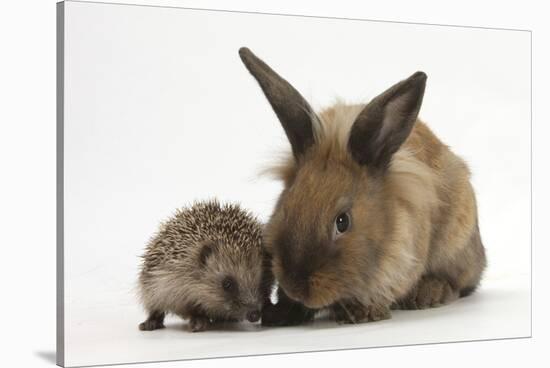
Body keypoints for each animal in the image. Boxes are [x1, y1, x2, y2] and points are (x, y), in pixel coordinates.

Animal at [239, 46, 490, 324]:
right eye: (284, 207)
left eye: (342, 222)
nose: (295, 285)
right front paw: (280, 313)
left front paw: (360, 313)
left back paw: (429, 293)